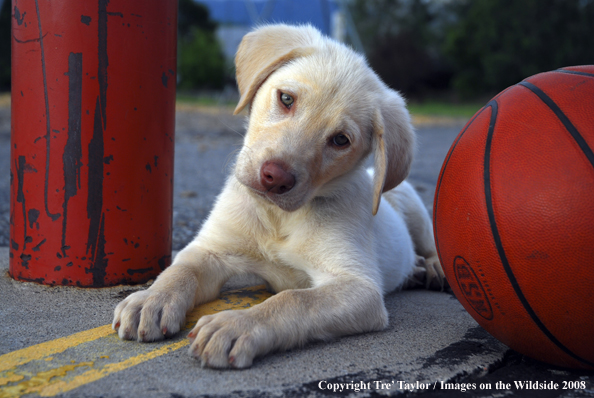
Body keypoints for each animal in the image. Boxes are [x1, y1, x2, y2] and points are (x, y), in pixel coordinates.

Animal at [112, 24, 444, 366]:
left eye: (341, 140)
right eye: (286, 98)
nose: (275, 178)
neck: (277, 217)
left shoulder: (358, 286)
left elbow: (293, 300)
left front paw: (237, 325)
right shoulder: (211, 249)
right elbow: (179, 270)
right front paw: (152, 299)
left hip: (412, 204)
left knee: (429, 242)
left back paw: (430, 267)